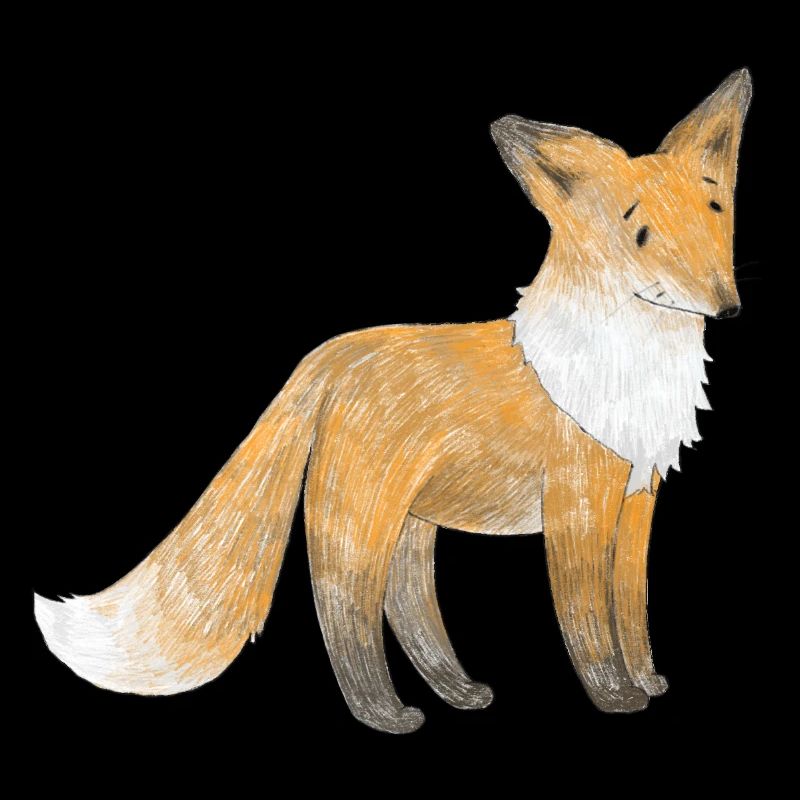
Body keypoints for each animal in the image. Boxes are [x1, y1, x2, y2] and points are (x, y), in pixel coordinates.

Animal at [34, 69, 751, 733]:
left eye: (714, 215)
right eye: (641, 235)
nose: (728, 307)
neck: (624, 369)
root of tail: (329, 356)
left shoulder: (637, 501)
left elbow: (631, 610)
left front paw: (650, 680)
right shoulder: (578, 509)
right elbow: (590, 623)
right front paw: (616, 697)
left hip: (412, 524)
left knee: (408, 609)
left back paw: (458, 692)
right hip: (362, 521)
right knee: (345, 612)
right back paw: (384, 713)